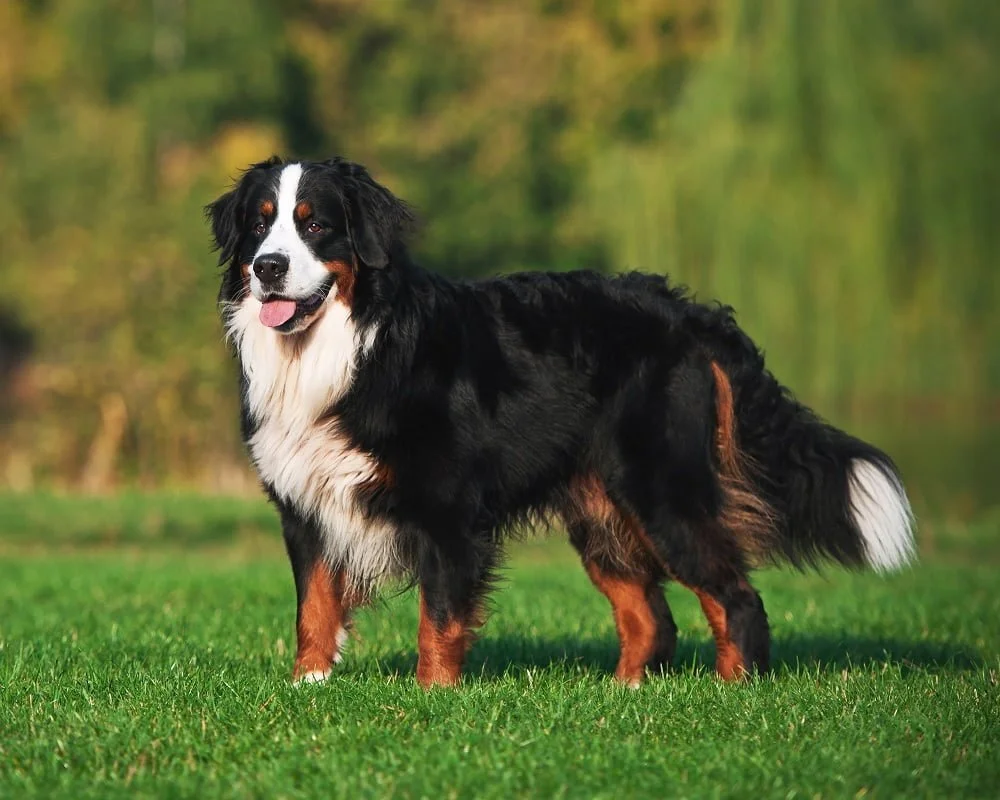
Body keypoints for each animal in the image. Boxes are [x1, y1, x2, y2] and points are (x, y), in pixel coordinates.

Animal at [207, 156, 916, 688]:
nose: (268, 268)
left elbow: (439, 617)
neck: (341, 349)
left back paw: (733, 690)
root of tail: (693, 315)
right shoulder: (304, 503)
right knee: (650, 616)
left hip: (661, 492)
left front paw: (432, 697)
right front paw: (308, 685)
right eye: (259, 226)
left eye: (316, 225)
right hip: (601, 511)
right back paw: (625, 694)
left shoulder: (446, 511)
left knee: (736, 597)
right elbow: (315, 606)